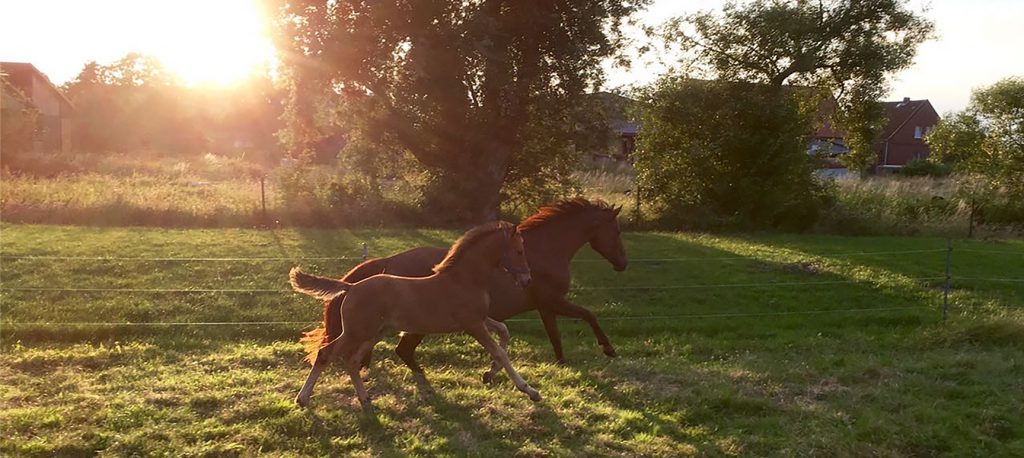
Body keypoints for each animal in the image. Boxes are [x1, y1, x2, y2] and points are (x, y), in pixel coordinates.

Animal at [290, 221, 540, 409]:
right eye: (520, 251)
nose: (527, 279)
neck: (465, 279)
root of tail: (350, 286)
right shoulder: (473, 324)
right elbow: (500, 352)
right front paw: (529, 390)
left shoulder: (479, 319)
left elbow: (504, 332)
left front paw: (490, 373)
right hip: (356, 332)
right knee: (326, 353)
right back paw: (302, 399)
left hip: (376, 332)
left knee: (351, 360)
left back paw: (365, 399)